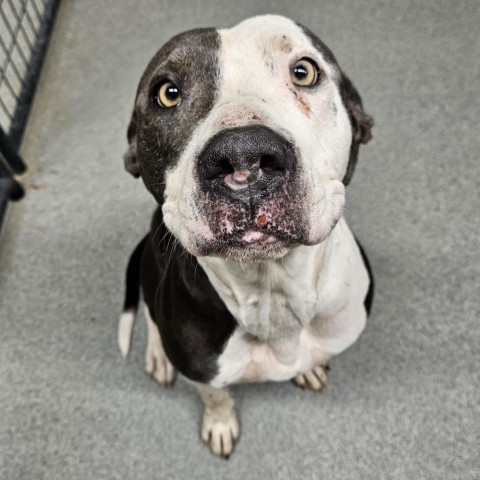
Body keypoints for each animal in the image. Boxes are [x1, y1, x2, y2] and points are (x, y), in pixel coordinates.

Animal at [118, 14, 374, 458]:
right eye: (167, 93)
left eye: (304, 71)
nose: (244, 159)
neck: (273, 293)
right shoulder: (202, 366)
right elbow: (215, 395)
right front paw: (220, 423)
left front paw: (309, 370)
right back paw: (157, 356)